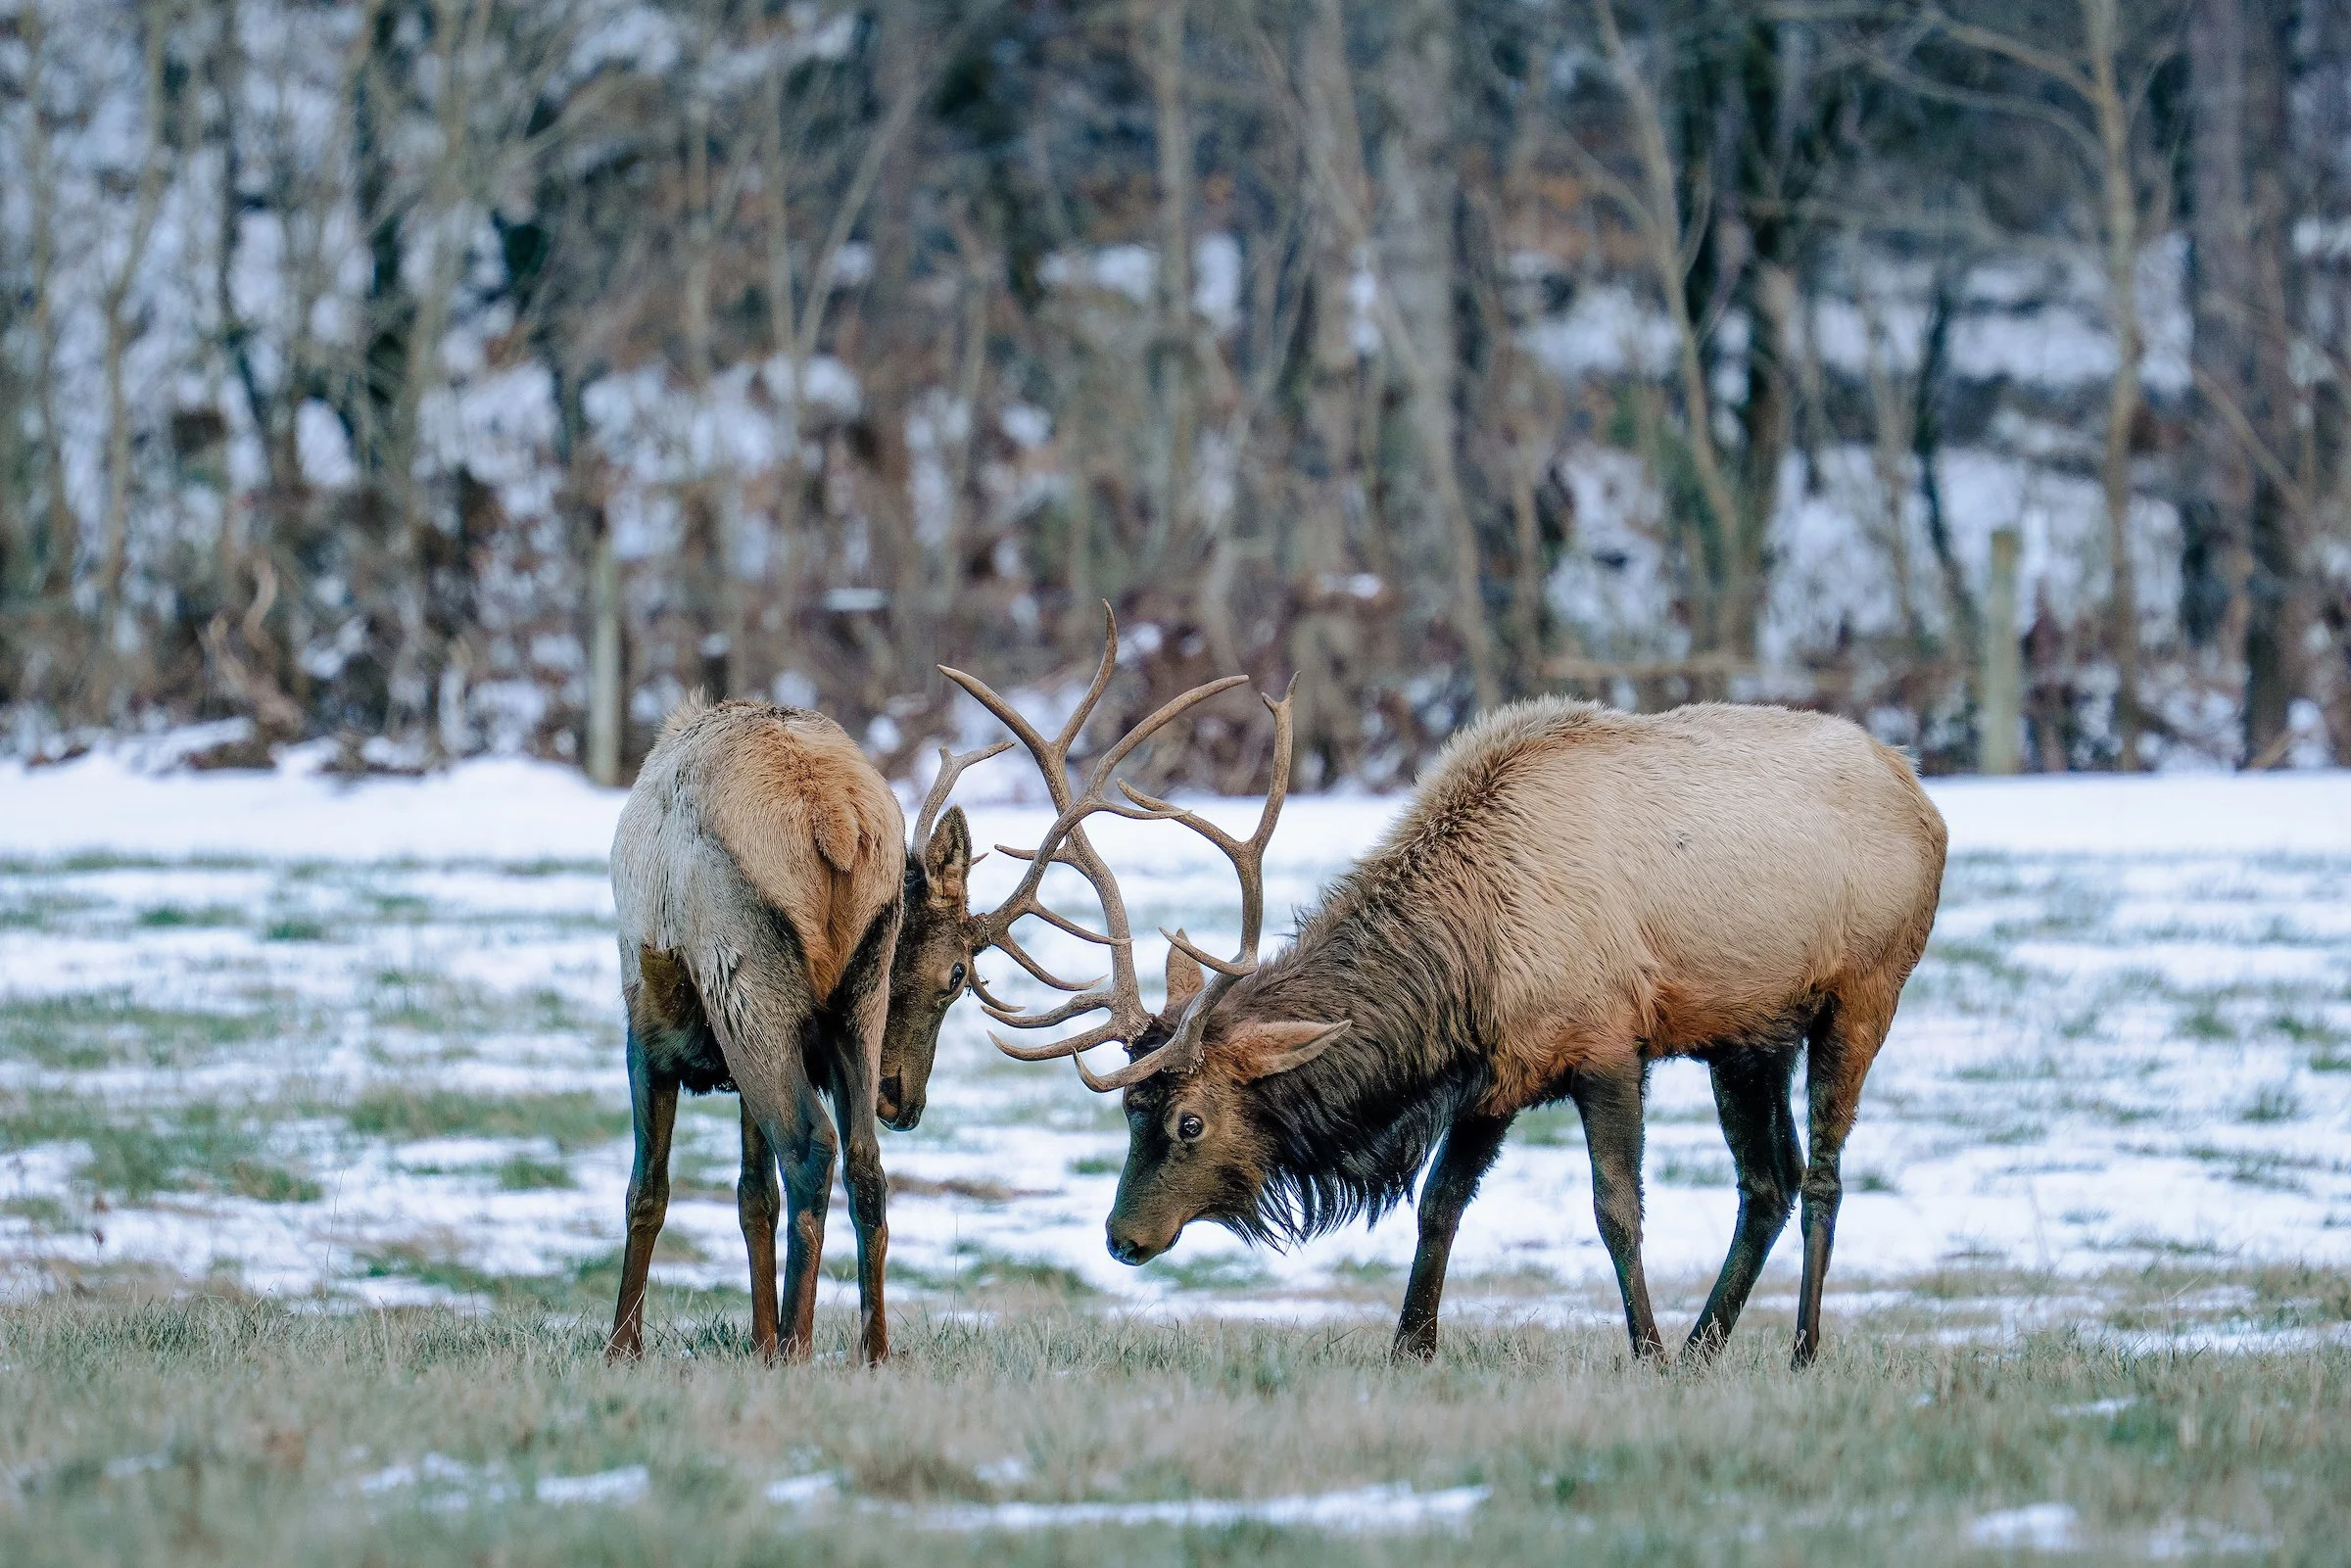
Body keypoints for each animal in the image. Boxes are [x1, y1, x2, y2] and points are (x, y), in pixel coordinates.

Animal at [605, 614, 1243, 1364]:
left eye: (960, 978)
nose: (902, 1096)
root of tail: (835, 821)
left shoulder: (647, 1024)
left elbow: (649, 1189)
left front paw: (622, 1346)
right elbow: (751, 1196)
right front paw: (754, 1339)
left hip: (746, 980)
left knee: (811, 1148)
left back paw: (796, 1345)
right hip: (848, 1004)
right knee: (866, 1165)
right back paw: (869, 1348)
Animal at [948, 678, 1948, 1368]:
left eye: (1189, 1121)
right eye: (1130, 1112)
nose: (1122, 1237)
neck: (1472, 965)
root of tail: (1923, 795)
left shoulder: (1606, 1042)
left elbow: (1615, 1208)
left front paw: (1647, 1352)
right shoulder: (1494, 1074)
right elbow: (1438, 1204)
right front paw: (1411, 1345)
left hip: (1865, 991)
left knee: (1819, 1178)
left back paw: (1798, 1350)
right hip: (1746, 1034)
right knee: (1765, 1182)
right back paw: (1711, 1345)